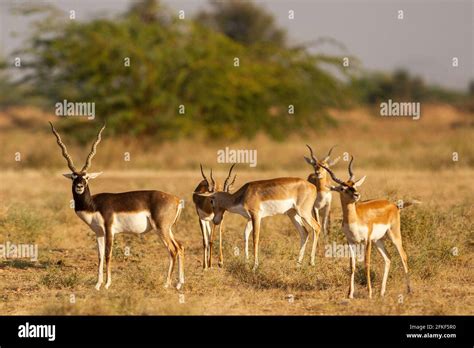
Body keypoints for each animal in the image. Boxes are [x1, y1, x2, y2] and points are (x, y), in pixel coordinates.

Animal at [48, 122, 185, 290]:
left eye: (86, 177)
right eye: (74, 177)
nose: (79, 186)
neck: (93, 205)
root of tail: (176, 200)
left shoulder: (109, 230)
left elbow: (108, 255)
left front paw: (107, 284)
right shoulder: (98, 233)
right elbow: (100, 257)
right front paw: (97, 285)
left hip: (161, 228)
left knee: (172, 250)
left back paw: (166, 284)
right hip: (168, 229)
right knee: (180, 247)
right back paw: (179, 283)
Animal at [320, 156, 416, 298]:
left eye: (354, 185)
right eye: (342, 188)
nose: (356, 195)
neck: (354, 219)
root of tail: (394, 205)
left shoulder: (367, 240)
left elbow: (367, 263)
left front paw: (369, 293)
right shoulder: (351, 241)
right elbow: (352, 265)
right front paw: (350, 294)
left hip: (393, 235)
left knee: (403, 256)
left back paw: (409, 290)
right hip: (378, 240)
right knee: (388, 258)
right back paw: (382, 292)